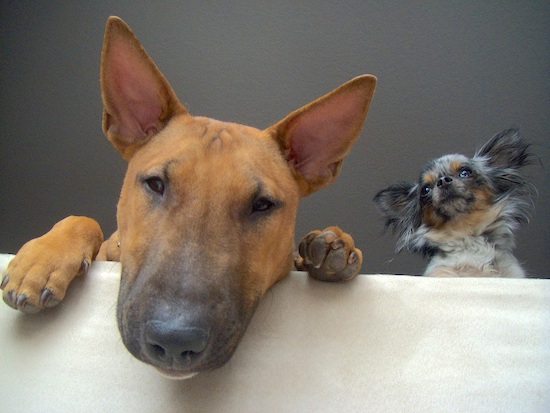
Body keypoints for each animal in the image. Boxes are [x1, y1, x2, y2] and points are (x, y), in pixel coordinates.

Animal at [0, 16, 378, 376]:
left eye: (262, 205)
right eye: (155, 184)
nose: (174, 341)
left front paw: (331, 248)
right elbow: (85, 219)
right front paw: (41, 261)